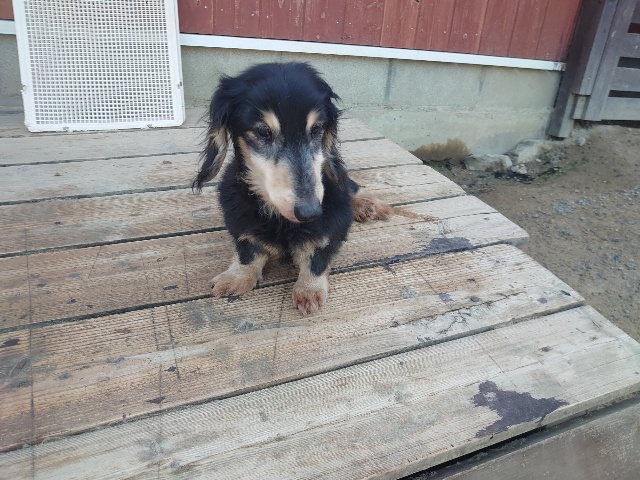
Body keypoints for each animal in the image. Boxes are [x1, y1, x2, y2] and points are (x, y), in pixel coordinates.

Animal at [192, 62, 391, 314]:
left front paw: (309, 289)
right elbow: (248, 249)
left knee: (351, 186)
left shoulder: (334, 221)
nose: (310, 212)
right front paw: (238, 276)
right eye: (263, 132)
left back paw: (369, 205)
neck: (281, 219)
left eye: (317, 129)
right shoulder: (239, 220)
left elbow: (317, 254)